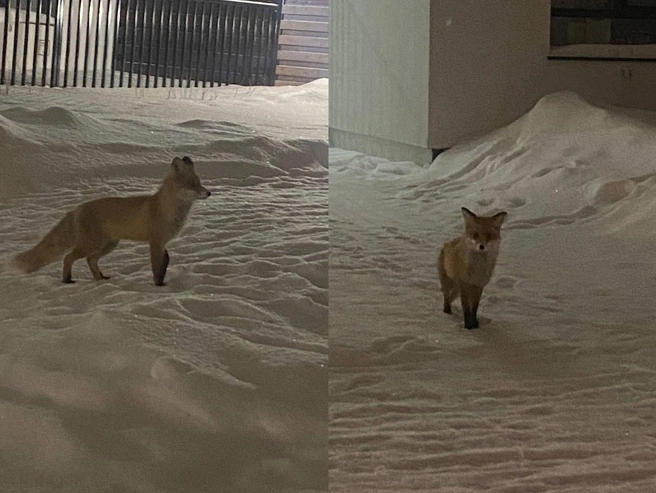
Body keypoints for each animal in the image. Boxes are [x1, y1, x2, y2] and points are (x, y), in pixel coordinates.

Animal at [14, 156, 211, 286]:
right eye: (193, 185)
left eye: (200, 183)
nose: (209, 193)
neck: (167, 209)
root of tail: (77, 208)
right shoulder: (155, 242)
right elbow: (156, 267)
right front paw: (158, 286)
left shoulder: (162, 243)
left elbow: (165, 262)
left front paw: (163, 281)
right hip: (91, 244)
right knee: (68, 257)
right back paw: (66, 280)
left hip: (108, 245)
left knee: (90, 260)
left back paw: (100, 279)